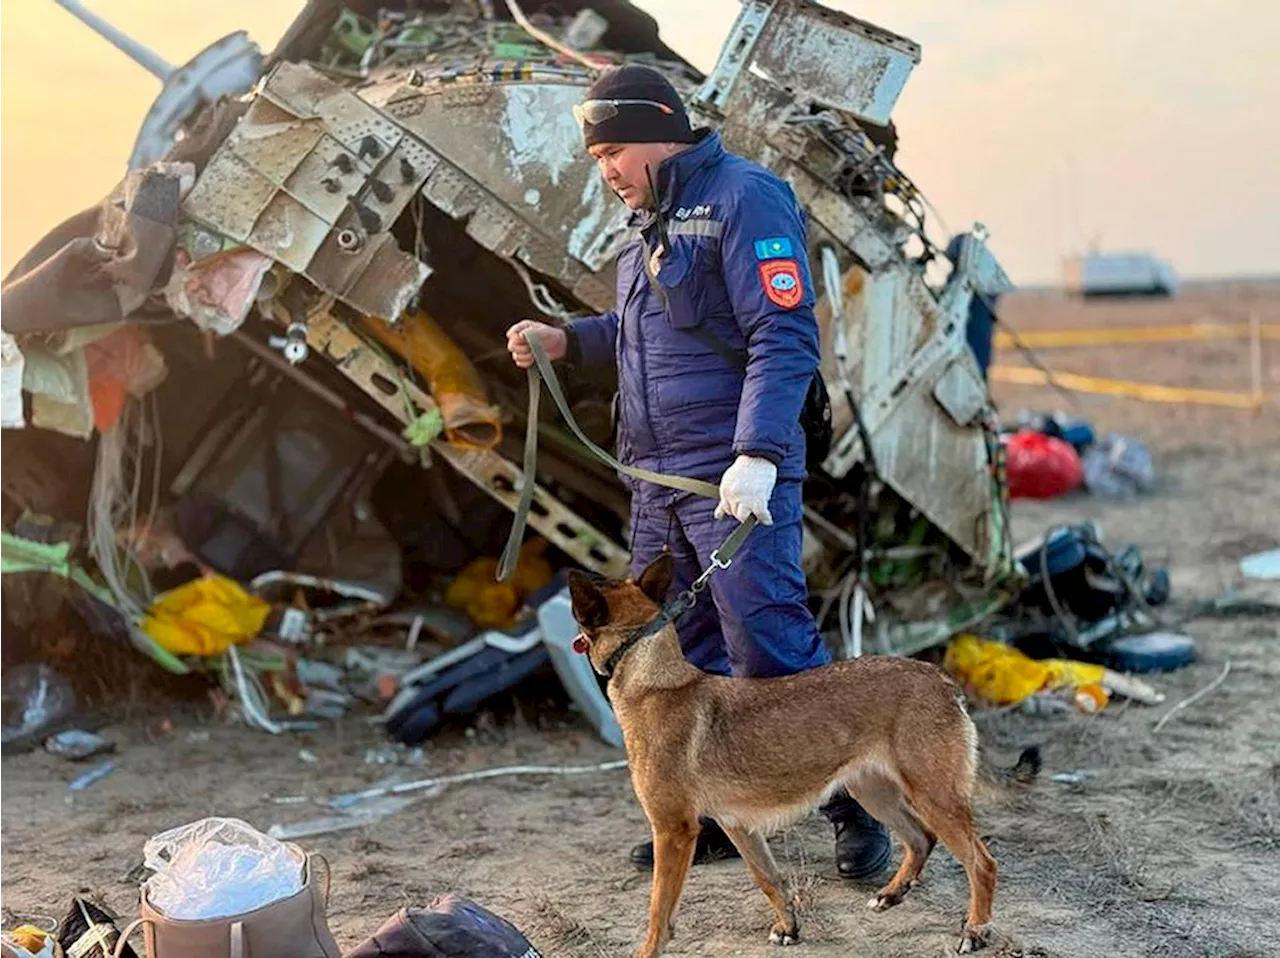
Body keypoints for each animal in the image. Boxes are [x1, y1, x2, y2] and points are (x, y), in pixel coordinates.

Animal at [570, 553, 1029, 957]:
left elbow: (658, 909)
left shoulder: (673, 831)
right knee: (921, 838)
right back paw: (892, 894)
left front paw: (649, 950)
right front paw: (788, 926)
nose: (574, 569)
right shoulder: (738, 825)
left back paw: (975, 931)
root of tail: (939, 678)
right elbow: (768, 879)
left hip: (934, 798)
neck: (653, 678)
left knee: (982, 864)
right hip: (874, 792)